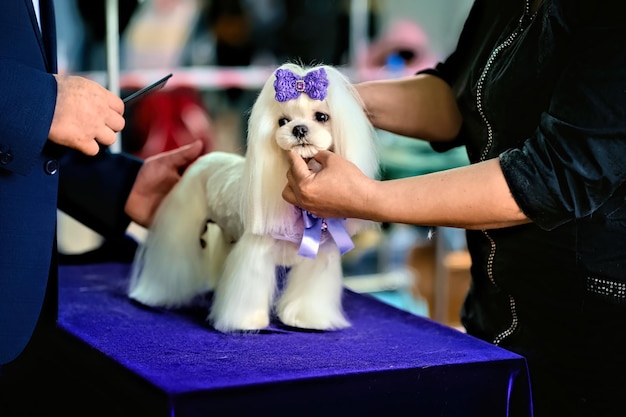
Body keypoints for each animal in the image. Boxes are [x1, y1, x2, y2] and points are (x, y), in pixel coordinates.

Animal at [128, 62, 376, 332]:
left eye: (322, 117)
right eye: (283, 121)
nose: (299, 129)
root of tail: (206, 157)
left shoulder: (319, 254)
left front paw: (308, 319)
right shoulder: (256, 251)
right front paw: (246, 321)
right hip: (182, 225)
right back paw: (152, 295)